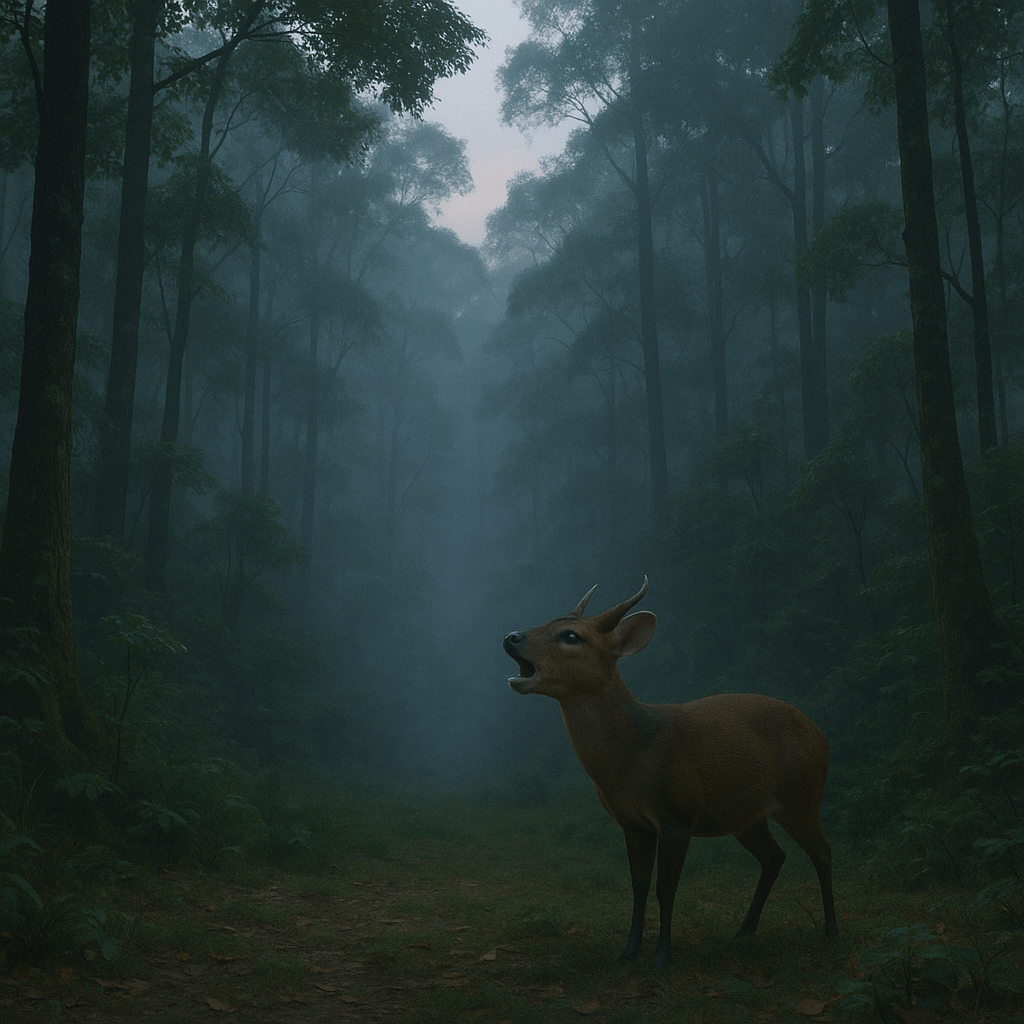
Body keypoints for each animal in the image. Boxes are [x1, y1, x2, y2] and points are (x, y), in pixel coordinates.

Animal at [503, 578, 838, 968]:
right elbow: (638, 886)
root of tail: (822, 736)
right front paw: (629, 952)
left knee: (823, 851)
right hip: (747, 816)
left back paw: (831, 933)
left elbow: (666, 888)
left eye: (571, 636)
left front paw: (662, 956)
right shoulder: (632, 822)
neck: (632, 755)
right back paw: (743, 933)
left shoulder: (679, 811)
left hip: (801, 795)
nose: (511, 636)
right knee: (775, 857)